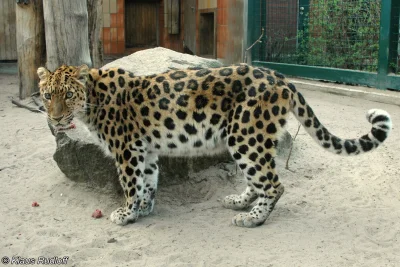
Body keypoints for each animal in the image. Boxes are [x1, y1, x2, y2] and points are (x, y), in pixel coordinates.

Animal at [36, 63, 392, 228]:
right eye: (47, 94)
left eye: (68, 94)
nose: (55, 117)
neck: (92, 100)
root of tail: (280, 77)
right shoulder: (144, 149)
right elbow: (147, 181)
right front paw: (143, 209)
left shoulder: (126, 150)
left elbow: (130, 184)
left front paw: (125, 213)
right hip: (250, 137)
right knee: (259, 179)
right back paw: (239, 202)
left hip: (245, 134)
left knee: (274, 184)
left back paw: (253, 218)